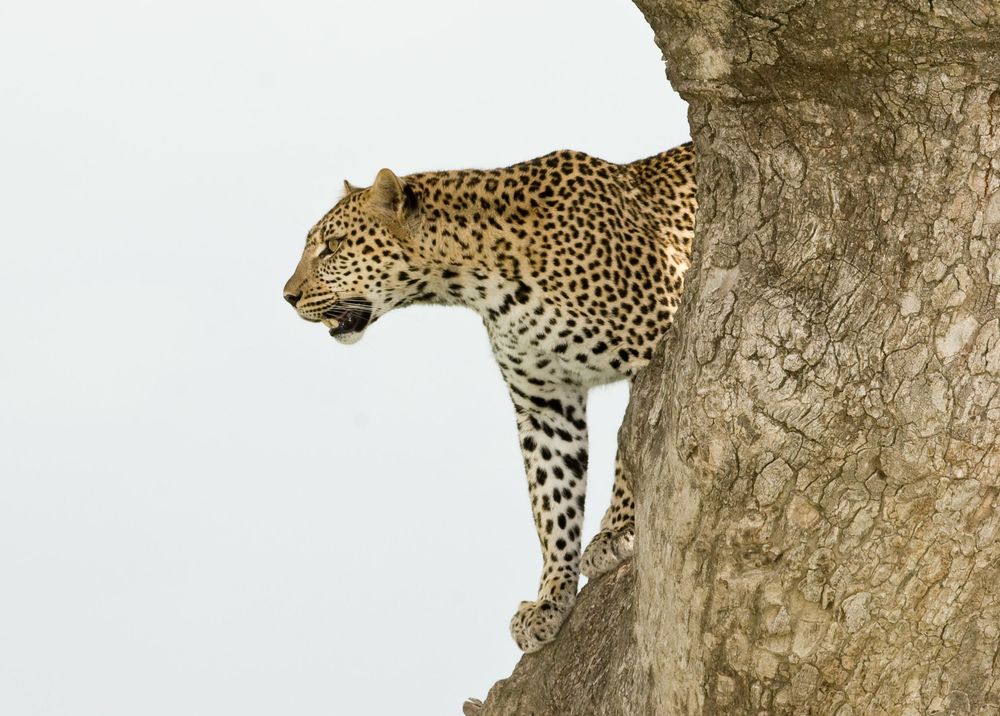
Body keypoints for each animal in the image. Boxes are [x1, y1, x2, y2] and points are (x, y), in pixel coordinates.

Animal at [282, 143, 696, 653]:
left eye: (333, 246)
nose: (287, 296)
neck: (481, 282)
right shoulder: (544, 405)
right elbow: (552, 501)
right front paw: (551, 598)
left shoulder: (655, 349)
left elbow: (636, 449)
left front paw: (619, 529)